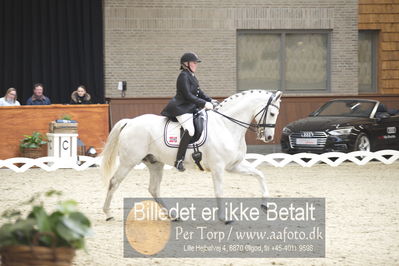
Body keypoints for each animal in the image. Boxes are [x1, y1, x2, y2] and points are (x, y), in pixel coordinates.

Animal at [101, 90, 282, 221]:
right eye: (272, 114)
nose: (268, 137)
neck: (226, 125)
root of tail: (130, 122)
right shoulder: (218, 167)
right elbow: (219, 191)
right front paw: (224, 218)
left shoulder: (233, 166)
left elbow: (259, 174)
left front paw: (265, 205)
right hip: (128, 162)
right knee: (113, 182)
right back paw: (108, 213)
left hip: (155, 163)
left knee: (153, 189)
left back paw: (173, 216)